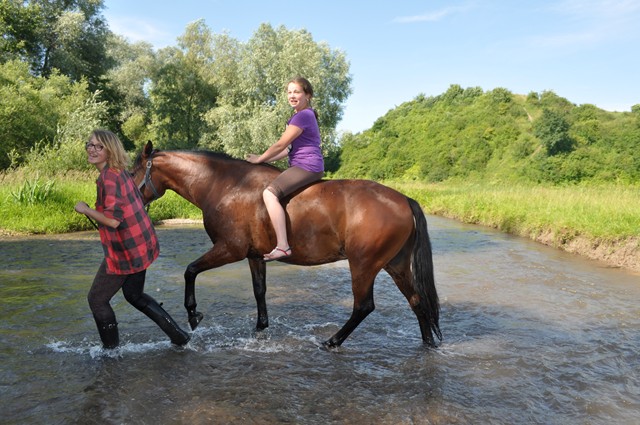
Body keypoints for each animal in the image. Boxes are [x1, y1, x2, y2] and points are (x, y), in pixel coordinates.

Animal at [131, 141, 441, 348]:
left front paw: (193, 314)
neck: (227, 185)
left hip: (364, 265)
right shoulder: (254, 255)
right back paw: (427, 343)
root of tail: (404, 200)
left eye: (133, 171)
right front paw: (260, 329)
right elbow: (259, 291)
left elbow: (190, 270)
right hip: (395, 264)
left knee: (363, 307)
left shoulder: (230, 249)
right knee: (416, 300)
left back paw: (333, 341)